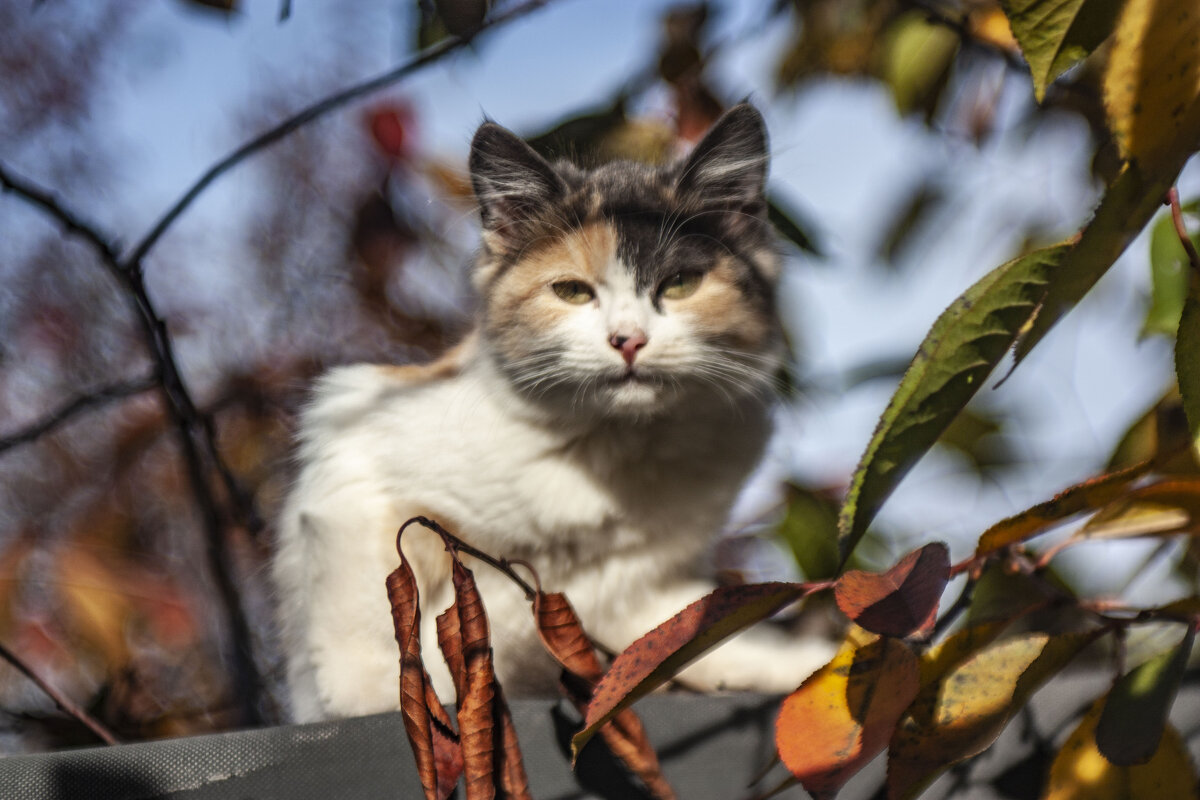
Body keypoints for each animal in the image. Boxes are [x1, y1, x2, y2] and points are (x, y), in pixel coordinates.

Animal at [271, 103, 835, 724]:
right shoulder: (351, 441)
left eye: (681, 284)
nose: (628, 340)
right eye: (572, 292)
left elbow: (692, 630)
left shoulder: (647, 584)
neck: (613, 447)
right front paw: (382, 695)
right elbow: (372, 599)